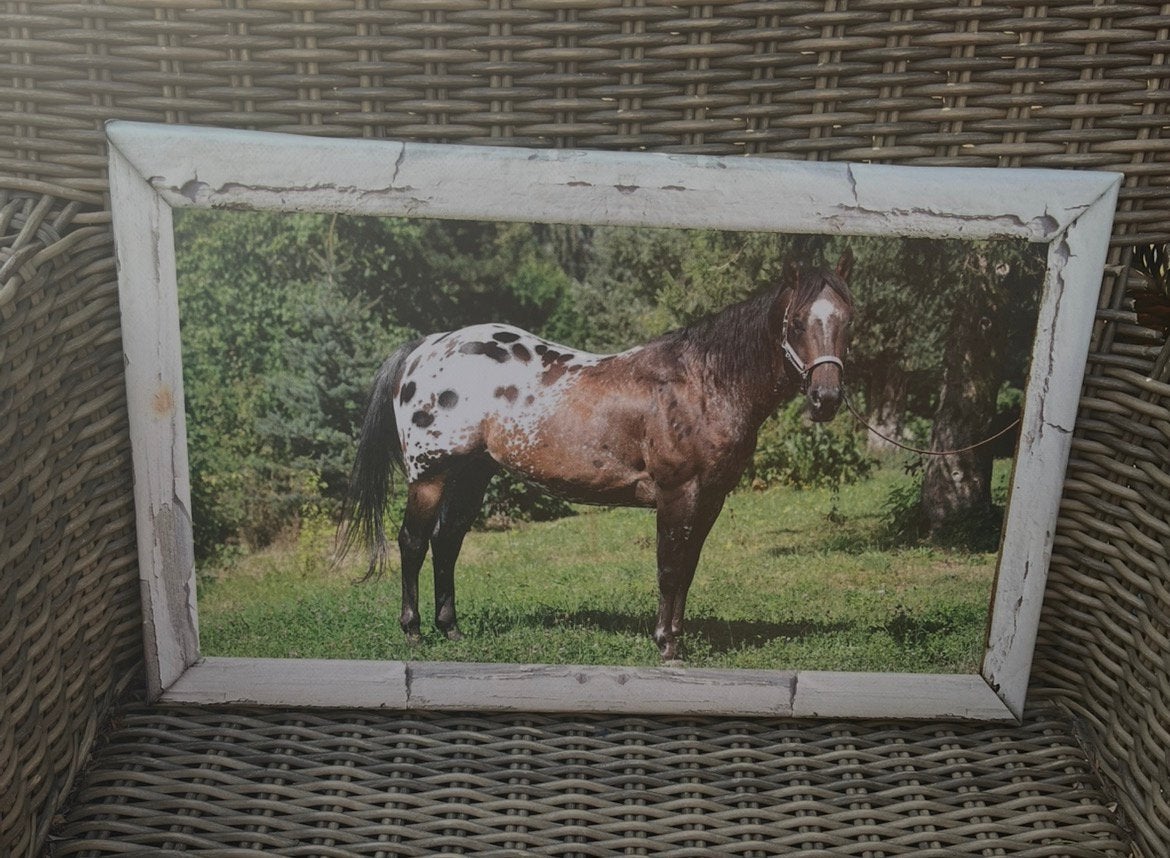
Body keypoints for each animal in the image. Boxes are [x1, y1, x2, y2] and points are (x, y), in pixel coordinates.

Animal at [342, 249, 855, 660]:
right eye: (796, 323)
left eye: (847, 322)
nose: (826, 398)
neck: (702, 383)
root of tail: (425, 349)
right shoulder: (677, 494)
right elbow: (669, 567)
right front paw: (665, 645)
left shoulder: (710, 498)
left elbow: (687, 568)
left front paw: (677, 638)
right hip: (430, 475)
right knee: (413, 542)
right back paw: (413, 631)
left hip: (472, 474)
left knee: (447, 542)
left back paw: (451, 630)